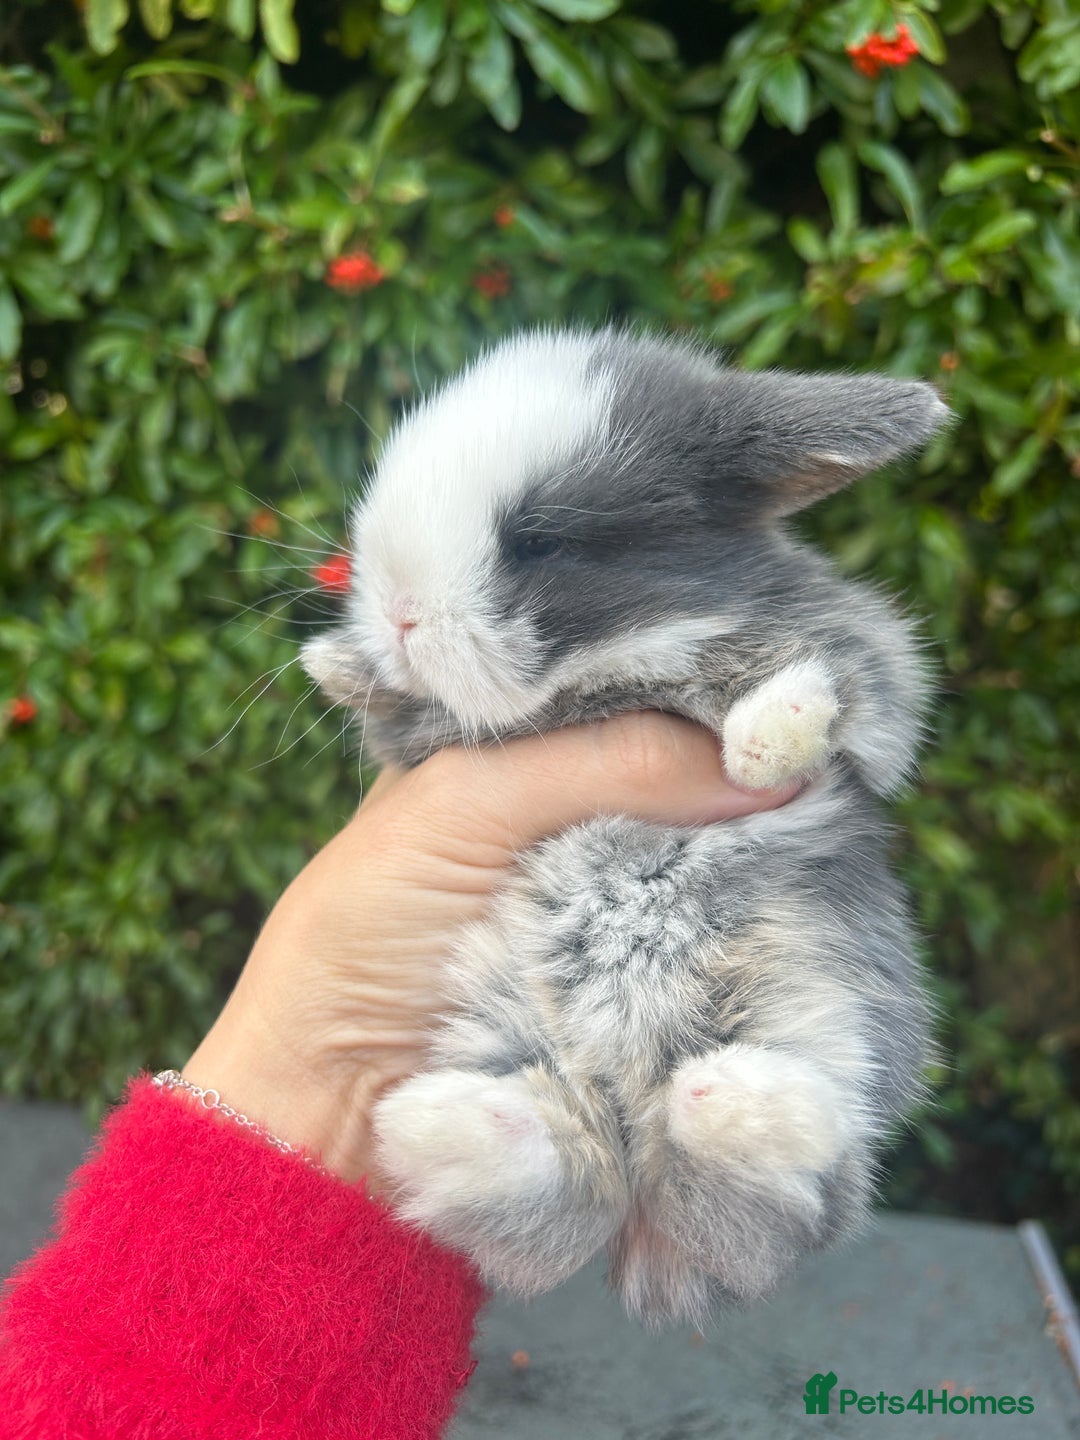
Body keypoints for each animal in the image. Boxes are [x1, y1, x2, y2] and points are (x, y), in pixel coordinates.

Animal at [300, 325, 950, 1329]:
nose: (399, 615)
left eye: (540, 539)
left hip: (829, 1011)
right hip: (504, 1035)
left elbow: (847, 692)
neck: (607, 670)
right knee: (567, 1197)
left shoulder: (868, 660)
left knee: (793, 1198)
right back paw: (450, 1127)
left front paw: (770, 738)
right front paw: (331, 662)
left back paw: (733, 1105)